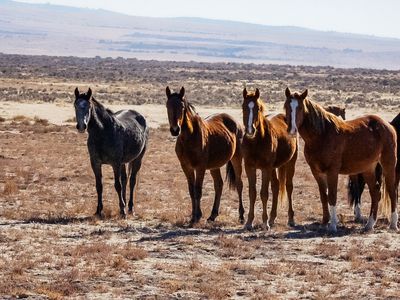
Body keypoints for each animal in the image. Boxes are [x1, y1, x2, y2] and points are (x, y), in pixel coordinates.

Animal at [74, 87, 148, 218]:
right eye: (75, 105)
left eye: (88, 106)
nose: (82, 126)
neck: (103, 132)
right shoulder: (95, 163)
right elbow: (99, 186)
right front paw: (99, 211)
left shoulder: (115, 163)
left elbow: (117, 185)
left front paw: (123, 211)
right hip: (123, 162)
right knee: (125, 179)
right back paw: (124, 204)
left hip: (138, 159)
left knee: (132, 181)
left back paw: (130, 208)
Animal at [165, 85, 244, 224]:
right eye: (167, 106)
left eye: (182, 107)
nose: (175, 130)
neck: (189, 137)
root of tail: (235, 122)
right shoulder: (186, 167)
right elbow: (191, 190)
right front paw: (193, 216)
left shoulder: (200, 167)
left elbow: (198, 190)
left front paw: (197, 216)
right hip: (214, 166)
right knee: (219, 185)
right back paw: (213, 215)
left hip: (236, 159)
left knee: (239, 184)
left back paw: (241, 216)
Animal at [241, 88, 296, 231]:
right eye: (243, 106)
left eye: (258, 108)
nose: (250, 130)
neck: (256, 141)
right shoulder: (249, 167)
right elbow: (252, 193)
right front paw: (249, 222)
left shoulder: (265, 168)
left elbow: (264, 193)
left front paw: (264, 222)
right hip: (273, 168)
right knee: (276, 186)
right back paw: (272, 218)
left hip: (290, 163)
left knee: (289, 187)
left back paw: (291, 219)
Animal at [284, 86, 396, 232]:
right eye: (286, 106)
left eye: (301, 108)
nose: (292, 130)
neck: (322, 135)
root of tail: (387, 125)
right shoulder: (317, 172)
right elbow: (324, 196)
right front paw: (325, 222)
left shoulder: (332, 171)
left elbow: (332, 196)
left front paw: (332, 225)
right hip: (368, 169)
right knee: (375, 192)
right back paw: (369, 224)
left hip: (388, 164)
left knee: (392, 191)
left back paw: (393, 224)